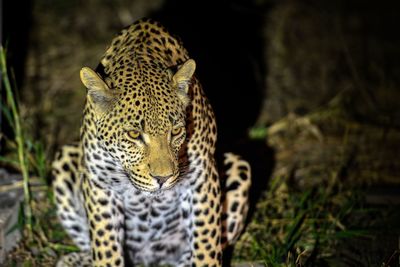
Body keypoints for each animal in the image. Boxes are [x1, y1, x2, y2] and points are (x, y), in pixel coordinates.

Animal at [50, 18, 250, 267]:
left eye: (176, 131)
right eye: (134, 134)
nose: (162, 179)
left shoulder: (202, 177)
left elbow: (207, 244)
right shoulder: (100, 183)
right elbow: (105, 248)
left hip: (238, 166)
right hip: (64, 159)